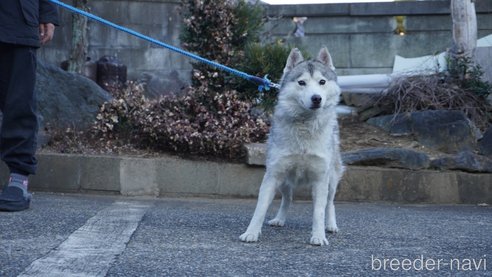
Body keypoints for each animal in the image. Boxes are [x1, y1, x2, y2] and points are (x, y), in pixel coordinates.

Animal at [238, 47, 342, 246]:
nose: (316, 98)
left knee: (330, 203)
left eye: (322, 82)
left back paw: (331, 225)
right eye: (301, 82)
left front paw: (318, 236)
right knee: (288, 198)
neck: (305, 125)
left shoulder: (320, 178)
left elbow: (319, 211)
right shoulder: (273, 175)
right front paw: (251, 232)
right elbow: (260, 208)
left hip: (331, 180)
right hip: (285, 181)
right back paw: (280, 219)